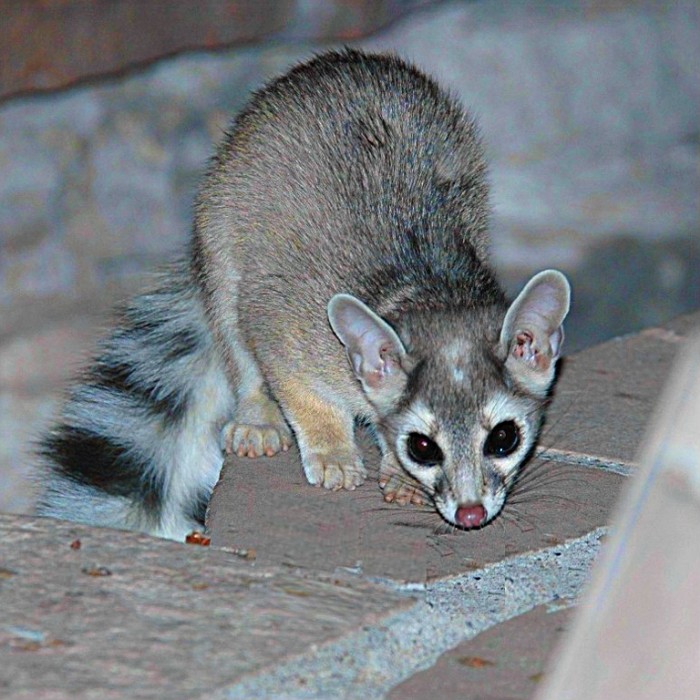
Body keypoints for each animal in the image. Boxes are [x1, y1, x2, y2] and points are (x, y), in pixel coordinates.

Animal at [35, 49, 570, 540]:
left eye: (503, 439)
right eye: (423, 447)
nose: (471, 515)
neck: (433, 295)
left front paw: (394, 471)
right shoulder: (293, 327)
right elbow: (291, 376)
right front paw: (331, 443)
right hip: (220, 228)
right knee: (233, 329)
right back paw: (256, 408)